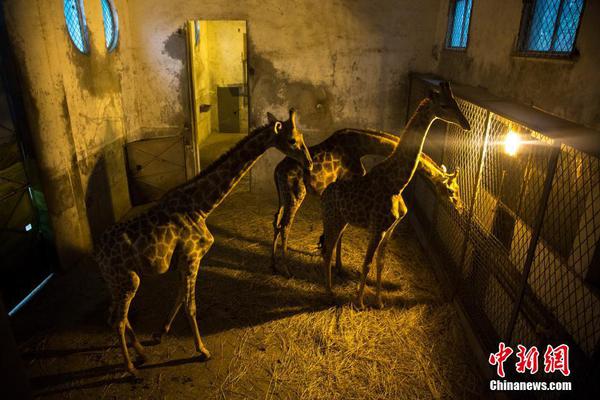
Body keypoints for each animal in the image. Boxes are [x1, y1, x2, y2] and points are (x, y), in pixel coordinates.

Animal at [95, 108, 312, 376]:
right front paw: (202, 350)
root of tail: (98, 253)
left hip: (118, 281)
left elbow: (179, 297)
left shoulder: (183, 261)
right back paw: (131, 369)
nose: (309, 163)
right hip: (127, 280)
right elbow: (191, 305)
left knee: (115, 316)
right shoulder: (192, 257)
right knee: (117, 319)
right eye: (292, 140)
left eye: (302, 137)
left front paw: (159, 333)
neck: (201, 206)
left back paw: (142, 354)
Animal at [270, 128, 462, 276]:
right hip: (296, 195)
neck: (361, 147)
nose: (460, 208)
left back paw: (274, 266)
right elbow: (341, 232)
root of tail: (277, 170)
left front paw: (335, 262)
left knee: (276, 222)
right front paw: (338, 267)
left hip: (283, 196)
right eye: (451, 191)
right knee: (285, 226)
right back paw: (286, 270)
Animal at [322, 82, 472, 310]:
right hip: (334, 219)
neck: (396, 184)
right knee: (327, 249)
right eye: (444, 105)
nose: (466, 125)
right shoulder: (377, 228)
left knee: (329, 245)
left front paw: (379, 302)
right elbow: (366, 263)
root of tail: (323, 195)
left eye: (456, 103)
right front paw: (360, 303)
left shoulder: (390, 228)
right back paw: (329, 293)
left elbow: (380, 262)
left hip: (341, 220)